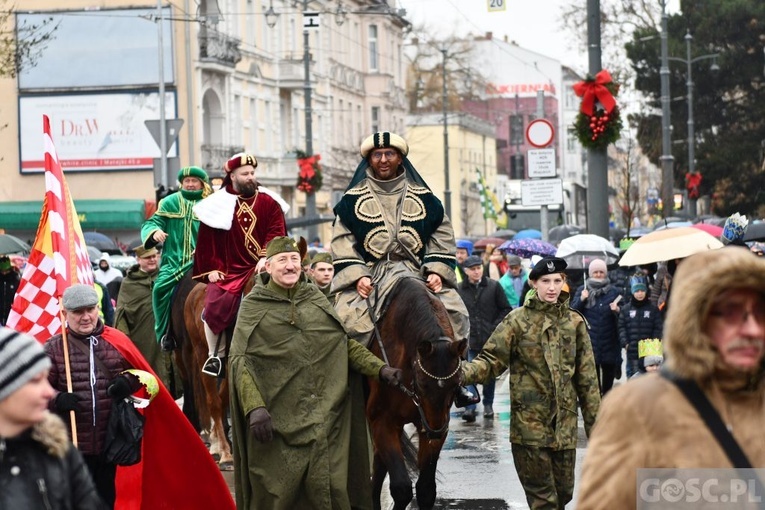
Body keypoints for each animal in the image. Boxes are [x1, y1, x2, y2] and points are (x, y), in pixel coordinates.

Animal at [364, 276, 466, 510]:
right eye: (421, 383)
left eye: (456, 383)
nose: (435, 431)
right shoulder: (382, 420)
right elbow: (401, 488)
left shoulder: (432, 424)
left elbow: (426, 489)